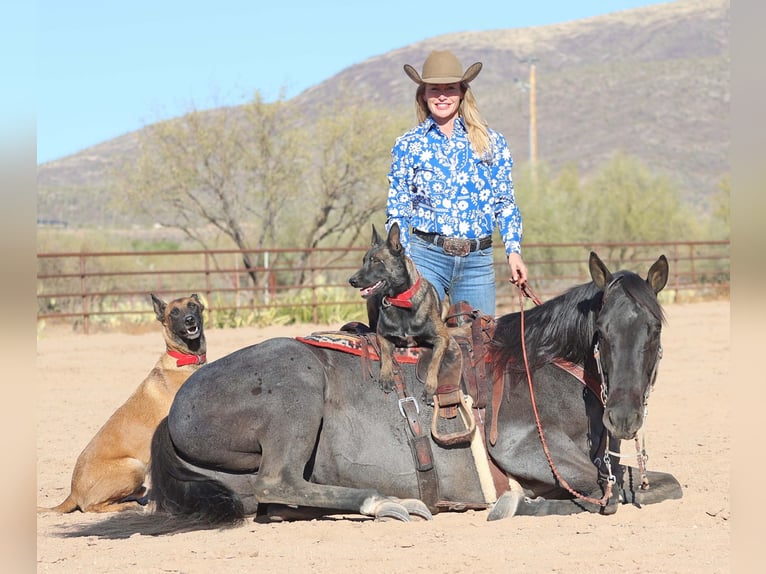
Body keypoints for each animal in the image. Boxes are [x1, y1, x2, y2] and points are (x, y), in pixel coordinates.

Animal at [38, 294, 207, 516]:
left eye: (193, 306)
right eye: (174, 313)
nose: (189, 320)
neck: (186, 361)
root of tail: (73, 492)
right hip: (133, 466)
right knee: (91, 507)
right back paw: (128, 505)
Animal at [61, 253, 684, 540]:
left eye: (656, 328)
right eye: (603, 333)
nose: (624, 417)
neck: (539, 368)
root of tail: (173, 412)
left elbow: (657, 485)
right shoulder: (520, 448)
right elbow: (605, 495)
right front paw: (514, 503)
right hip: (296, 390)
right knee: (279, 481)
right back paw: (386, 502)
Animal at [350, 223, 462, 402]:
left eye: (376, 261)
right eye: (364, 261)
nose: (351, 281)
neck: (400, 301)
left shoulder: (442, 338)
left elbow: (434, 363)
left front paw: (430, 387)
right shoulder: (382, 335)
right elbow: (386, 355)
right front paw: (386, 376)